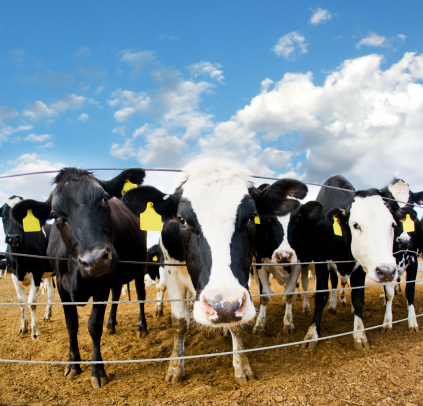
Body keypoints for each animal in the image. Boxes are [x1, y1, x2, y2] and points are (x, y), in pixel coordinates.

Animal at [0, 197, 55, 340]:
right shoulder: (13, 275)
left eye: (23, 216)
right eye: (3, 215)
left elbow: (32, 302)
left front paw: (35, 330)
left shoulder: (36, 274)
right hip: (48, 273)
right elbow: (21, 301)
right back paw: (48, 314)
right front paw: (23, 326)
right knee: (51, 291)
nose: (13, 237)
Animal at [11, 167, 149, 388]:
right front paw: (73, 364)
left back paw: (142, 327)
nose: (95, 260)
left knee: (141, 295)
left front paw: (97, 371)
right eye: (55, 215)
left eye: (104, 198)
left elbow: (93, 325)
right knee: (116, 295)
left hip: (139, 265)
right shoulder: (62, 285)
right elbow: (71, 324)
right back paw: (111, 324)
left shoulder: (102, 283)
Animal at [122, 159, 308, 384]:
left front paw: (241, 367)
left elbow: (238, 324)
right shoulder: (171, 271)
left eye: (251, 217)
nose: (223, 307)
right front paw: (175, 368)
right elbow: (179, 322)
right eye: (182, 220)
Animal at [302, 176, 414, 350]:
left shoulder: (360, 266)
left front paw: (360, 334)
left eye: (392, 224)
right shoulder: (321, 262)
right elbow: (321, 296)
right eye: (355, 225)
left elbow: (358, 298)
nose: (387, 271)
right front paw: (312, 333)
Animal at [380, 179, 423, 332]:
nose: (404, 241)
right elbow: (389, 293)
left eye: (411, 207)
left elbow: (410, 289)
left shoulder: (414, 259)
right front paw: (387, 321)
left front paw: (412, 320)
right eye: (390, 207)